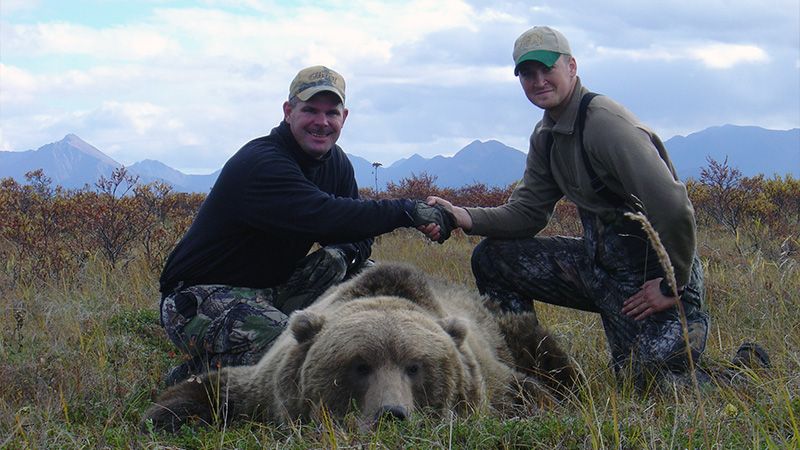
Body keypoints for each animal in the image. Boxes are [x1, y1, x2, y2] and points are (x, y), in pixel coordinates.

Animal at [144, 262, 580, 430]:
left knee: (547, 354)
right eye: (359, 365)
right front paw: (161, 414)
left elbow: (528, 394)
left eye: (415, 366)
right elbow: (214, 390)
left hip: (506, 330)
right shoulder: (268, 388)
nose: (391, 414)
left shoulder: (491, 381)